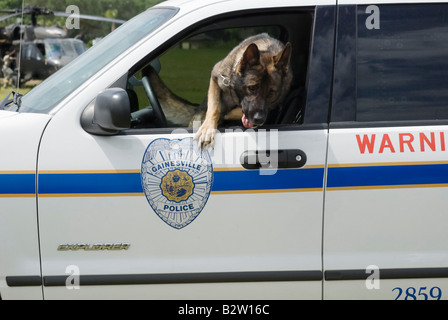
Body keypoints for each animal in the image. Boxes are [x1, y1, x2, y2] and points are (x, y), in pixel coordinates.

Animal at [148, 33, 294, 148]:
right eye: (251, 88)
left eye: (271, 93)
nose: (258, 120)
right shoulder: (215, 77)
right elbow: (214, 108)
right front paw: (208, 129)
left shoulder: (274, 106)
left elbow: (231, 111)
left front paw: (224, 116)